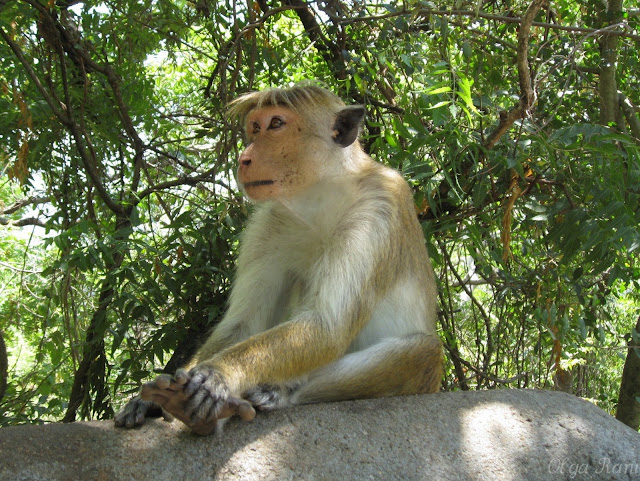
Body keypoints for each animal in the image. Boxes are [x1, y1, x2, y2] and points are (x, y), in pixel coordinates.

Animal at [114, 83, 443, 435]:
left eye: (275, 124)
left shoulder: (379, 205)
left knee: (424, 352)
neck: (319, 197)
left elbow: (327, 326)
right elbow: (242, 323)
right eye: (255, 128)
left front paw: (218, 375)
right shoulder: (268, 223)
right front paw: (157, 397)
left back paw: (279, 392)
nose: (244, 158)